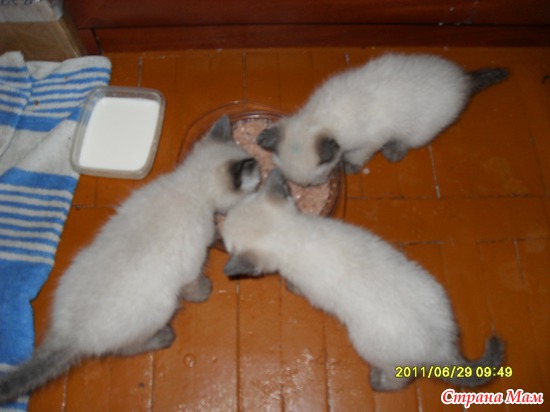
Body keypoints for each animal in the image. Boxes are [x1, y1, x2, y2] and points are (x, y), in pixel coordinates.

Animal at [0, 115, 261, 404]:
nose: (262, 180)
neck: (190, 185)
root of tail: (69, 335)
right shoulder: (191, 265)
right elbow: (195, 286)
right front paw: (206, 289)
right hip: (160, 308)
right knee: (124, 349)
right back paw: (165, 336)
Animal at [221, 169, 504, 391]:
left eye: (226, 242)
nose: (220, 230)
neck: (292, 233)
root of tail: (441, 347)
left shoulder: (303, 283)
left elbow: (294, 286)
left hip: (370, 348)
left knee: (400, 380)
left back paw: (376, 383)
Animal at [257, 53, 509, 186]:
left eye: (310, 184)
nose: (314, 187)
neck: (322, 118)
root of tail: (463, 79)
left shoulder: (370, 141)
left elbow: (358, 155)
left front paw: (350, 166)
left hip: (419, 131)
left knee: (408, 142)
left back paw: (393, 152)